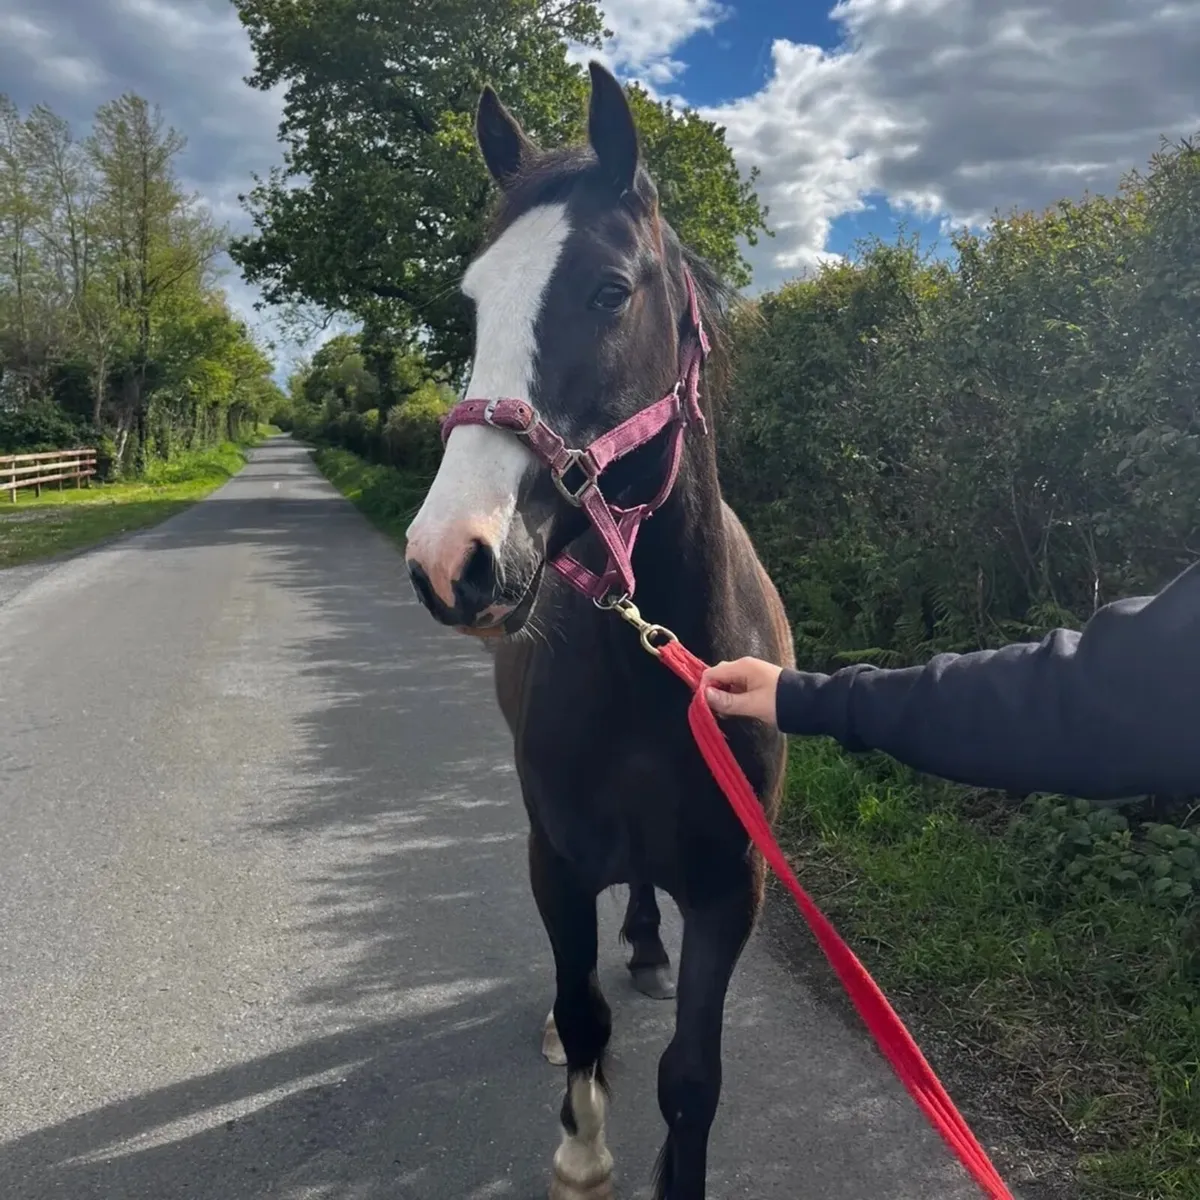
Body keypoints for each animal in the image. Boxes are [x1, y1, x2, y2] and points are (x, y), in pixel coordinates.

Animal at [404, 61, 794, 1200]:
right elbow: (583, 1014)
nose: (449, 557)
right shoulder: (559, 858)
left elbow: (692, 1080)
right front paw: (581, 1149)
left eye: (610, 291)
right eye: (474, 301)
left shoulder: (733, 886)